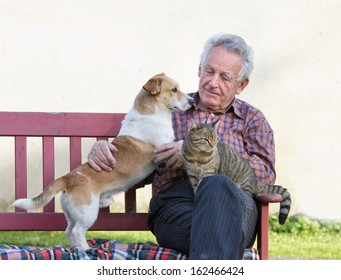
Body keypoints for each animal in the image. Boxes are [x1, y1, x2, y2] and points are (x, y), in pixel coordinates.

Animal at [12, 72, 191, 249]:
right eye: (174, 89)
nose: (191, 101)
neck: (150, 113)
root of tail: (68, 178)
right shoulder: (165, 146)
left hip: (73, 214)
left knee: (69, 231)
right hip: (88, 213)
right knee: (77, 232)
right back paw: (86, 250)